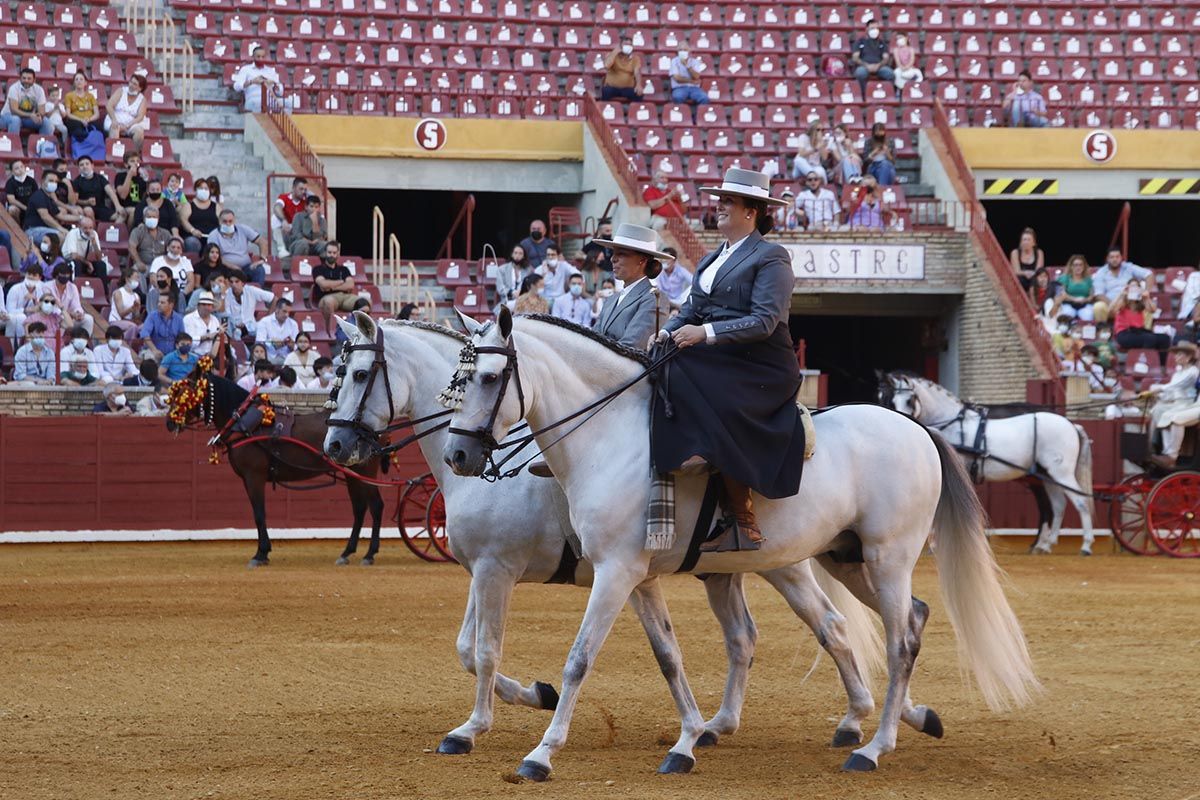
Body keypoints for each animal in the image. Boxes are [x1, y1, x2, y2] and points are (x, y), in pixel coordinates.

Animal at [164, 362, 384, 568]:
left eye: (184, 393)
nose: (169, 422)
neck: (243, 423)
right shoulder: (247, 480)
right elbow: (258, 514)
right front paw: (264, 551)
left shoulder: (254, 477)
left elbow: (259, 514)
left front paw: (260, 554)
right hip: (352, 475)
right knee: (359, 509)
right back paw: (347, 552)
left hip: (364, 472)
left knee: (376, 506)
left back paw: (369, 554)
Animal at [324, 314, 888, 758]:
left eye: (358, 373)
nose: (334, 445)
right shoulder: (484, 570)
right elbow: (467, 647)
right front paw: (536, 694)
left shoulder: (497, 570)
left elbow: (485, 650)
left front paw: (476, 728)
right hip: (736, 571)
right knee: (751, 637)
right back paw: (729, 725)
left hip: (787, 565)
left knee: (832, 625)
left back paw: (860, 717)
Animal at [441, 309, 1041, 777]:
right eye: (458, 379)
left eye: (491, 377)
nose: (458, 456)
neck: (610, 437)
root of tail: (914, 428)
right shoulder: (637, 576)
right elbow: (668, 655)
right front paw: (687, 741)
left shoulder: (606, 572)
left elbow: (577, 659)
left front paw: (540, 754)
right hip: (845, 559)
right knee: (897, 620)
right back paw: (885, 720)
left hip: (887, 558)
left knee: (899, 642)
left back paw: (874, 747)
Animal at [883, 371, 1099, 554]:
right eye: (892, 400)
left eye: (910, 399)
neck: (953, 424)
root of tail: (1070, 424)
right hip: (1047, 476)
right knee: (1058, 505)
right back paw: (1045, 545)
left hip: (1061, 473)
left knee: (1080, 502)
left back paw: (1086, 544)